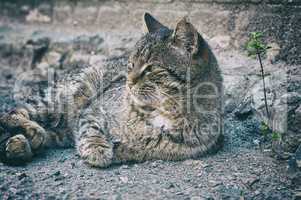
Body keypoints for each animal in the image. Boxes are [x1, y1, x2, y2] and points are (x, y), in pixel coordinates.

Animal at [0, 12, 223, 167]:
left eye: (151, 68)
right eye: (131, 64)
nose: (128, 82)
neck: (164, 112)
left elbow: (140, 148)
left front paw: (121, 149)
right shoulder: (93, 109)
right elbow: (91, 129)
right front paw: (98, 149)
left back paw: (20, 145)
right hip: (63, 95)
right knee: (12, 113)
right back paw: (29, 132)